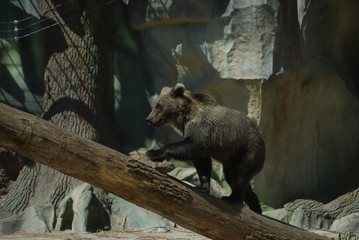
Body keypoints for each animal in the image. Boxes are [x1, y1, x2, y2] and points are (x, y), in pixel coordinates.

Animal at [145, 83, 266, 214]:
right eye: (154, 105)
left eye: (159, 106)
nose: (148, 119)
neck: (185, 116)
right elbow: (202, 162)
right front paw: (203, 187)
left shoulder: (201, 127)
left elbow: (193, 146)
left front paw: (153, 153)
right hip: (231, 158)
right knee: (233, 177)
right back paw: (256, 207)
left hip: (247, 150)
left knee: (240, 175)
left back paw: (232, 198)